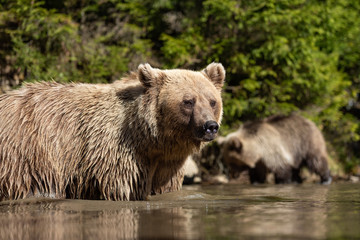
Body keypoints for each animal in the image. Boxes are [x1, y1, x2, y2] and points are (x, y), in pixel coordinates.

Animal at [0, 62, 225, 201]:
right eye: (188, 101)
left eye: (212, 101)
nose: (210, 126)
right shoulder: (116, 153)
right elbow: (123, 188)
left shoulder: (168, 162)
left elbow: (164, 188)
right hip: (27, 152)